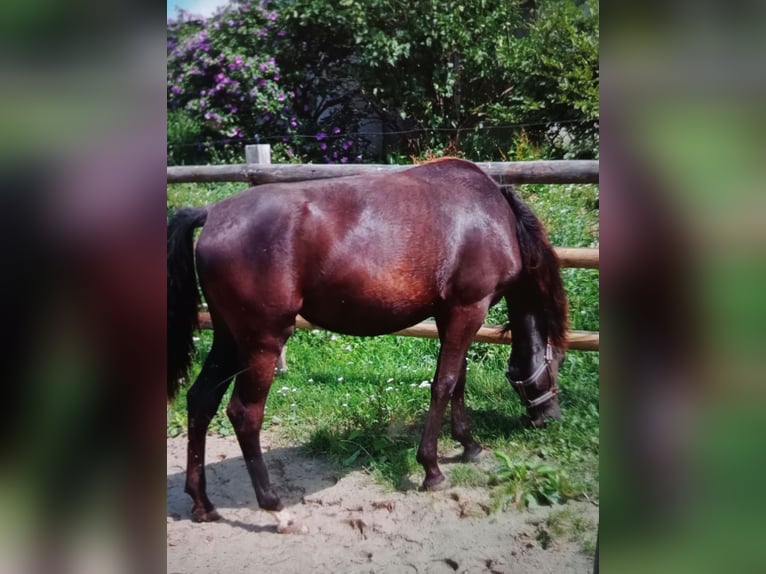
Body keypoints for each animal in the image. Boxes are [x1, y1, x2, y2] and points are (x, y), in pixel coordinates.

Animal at [168, 156, 568, 520]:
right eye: (557, 363)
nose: (551, 417)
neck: (493, 214)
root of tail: (212, 214)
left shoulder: (450, 313)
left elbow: (458, 381)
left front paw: (468, 445)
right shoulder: (469, 308)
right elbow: (444, 383)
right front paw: (431, 468)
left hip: (229, 338)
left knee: (201, 401)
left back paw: (203, 504)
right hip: (262, 341)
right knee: (244, 414)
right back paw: (274, 506)